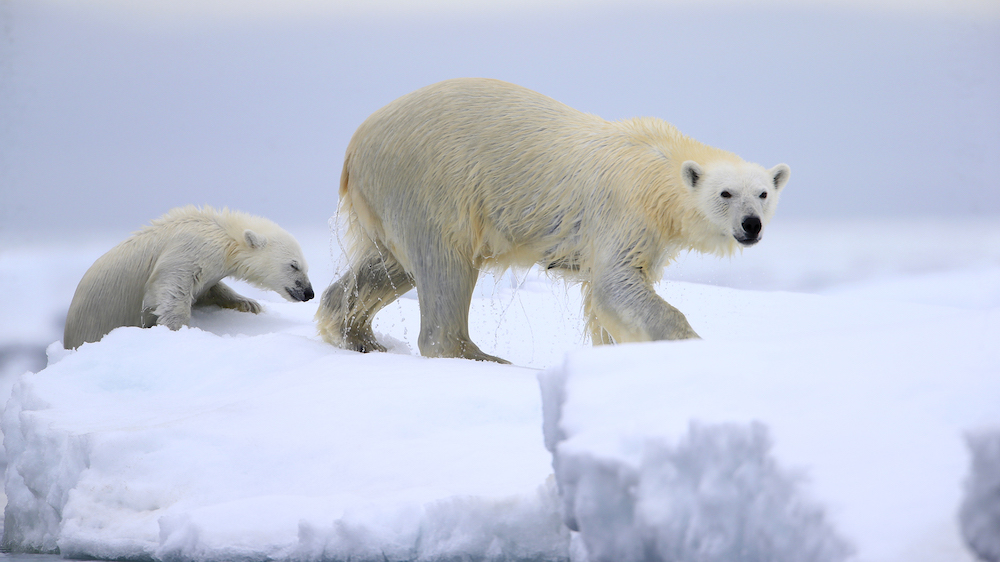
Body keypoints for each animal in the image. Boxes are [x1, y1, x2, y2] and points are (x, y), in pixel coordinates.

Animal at [65, 203, 314, 348]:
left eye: (306, 266)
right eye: (293, 265)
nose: (309, 293)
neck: (222, 235)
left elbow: (211, 289)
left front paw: (248, 303)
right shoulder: (186, 252)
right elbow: (171, 292)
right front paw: (177, 330)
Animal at [318, 77, 788, 364]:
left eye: (763, 193)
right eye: (726, 193)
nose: (751, 225)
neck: (656, 168)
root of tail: (355, 147)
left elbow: (605, 302)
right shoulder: (623, 212)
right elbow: (615, 286)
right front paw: (692, 348)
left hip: (390, 199)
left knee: (388, 266)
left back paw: (355, 335)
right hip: (432, 184)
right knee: (444, 266)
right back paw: (484, 357)